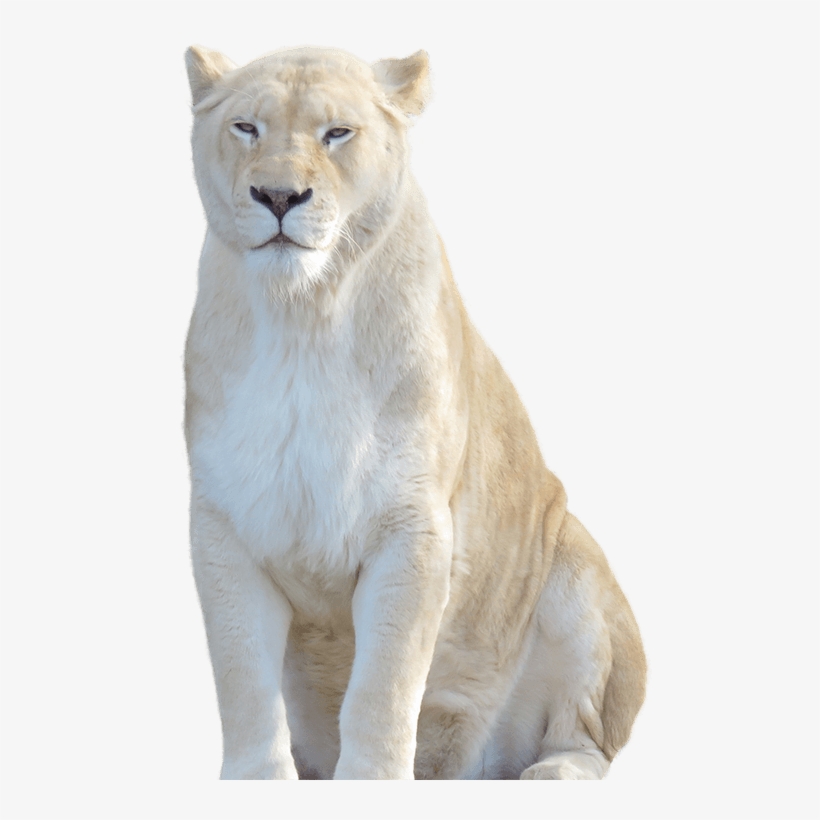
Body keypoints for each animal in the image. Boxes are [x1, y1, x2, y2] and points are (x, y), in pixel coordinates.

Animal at [184, 44, 646, 780]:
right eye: (247, 128)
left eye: (337, 133)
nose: (279, 197)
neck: (303, 318)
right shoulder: (224, 523)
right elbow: (242, 676)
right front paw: (257, 781)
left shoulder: (414, 525)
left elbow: (384, 682)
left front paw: (370, 780)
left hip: (575, 564)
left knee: (587, 736)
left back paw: (549, 772)